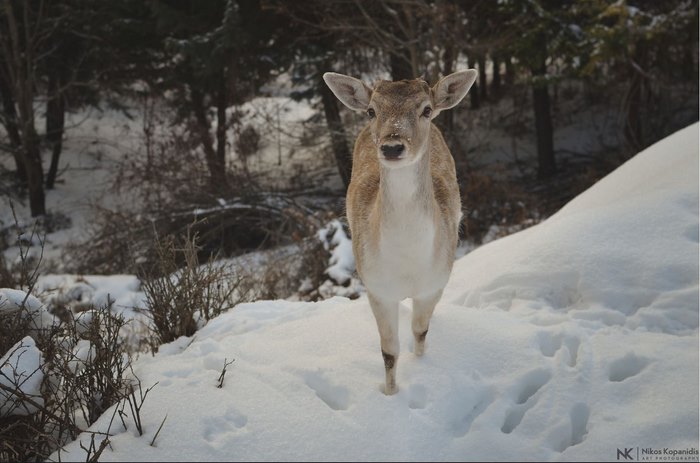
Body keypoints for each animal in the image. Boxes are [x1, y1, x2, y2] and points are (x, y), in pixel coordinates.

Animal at [324, 70, 478, 396]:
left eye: (426, 110)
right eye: (372, 111)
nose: (392, 146)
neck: (408, 266)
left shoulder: (435, 282)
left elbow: (420, 331)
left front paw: (421, 362)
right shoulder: (377, 288)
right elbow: (389, 352)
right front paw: (390, 392)